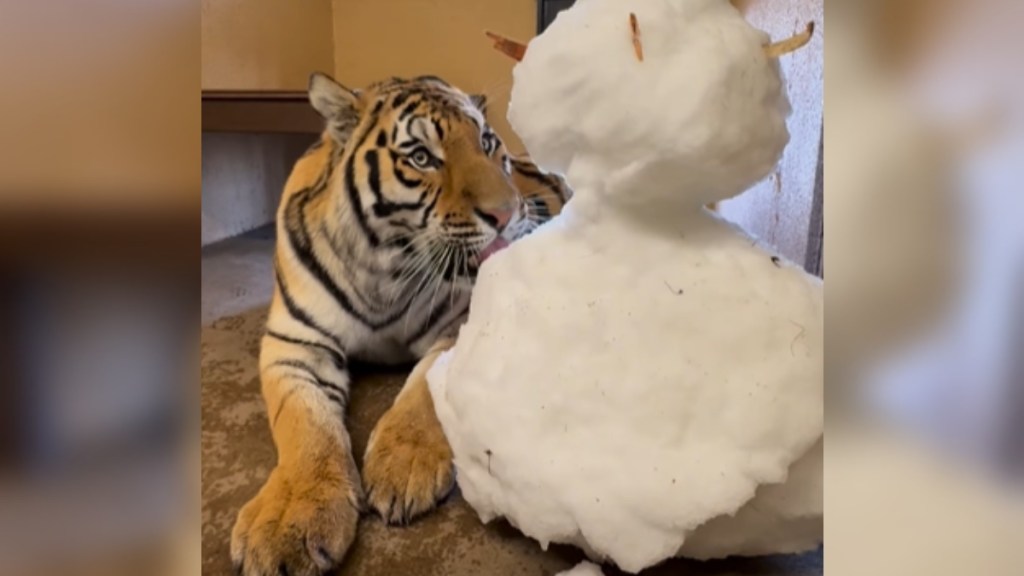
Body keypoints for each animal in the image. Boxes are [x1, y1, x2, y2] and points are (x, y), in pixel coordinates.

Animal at [227, 72, 573, 573]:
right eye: (421, 157)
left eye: (487, 143)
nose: (507, 214)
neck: (385, 270)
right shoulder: (295, 343)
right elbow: (305, 422)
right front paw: (290, 520)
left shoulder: (464, 320)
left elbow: (423, 391)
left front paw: (403, 468)